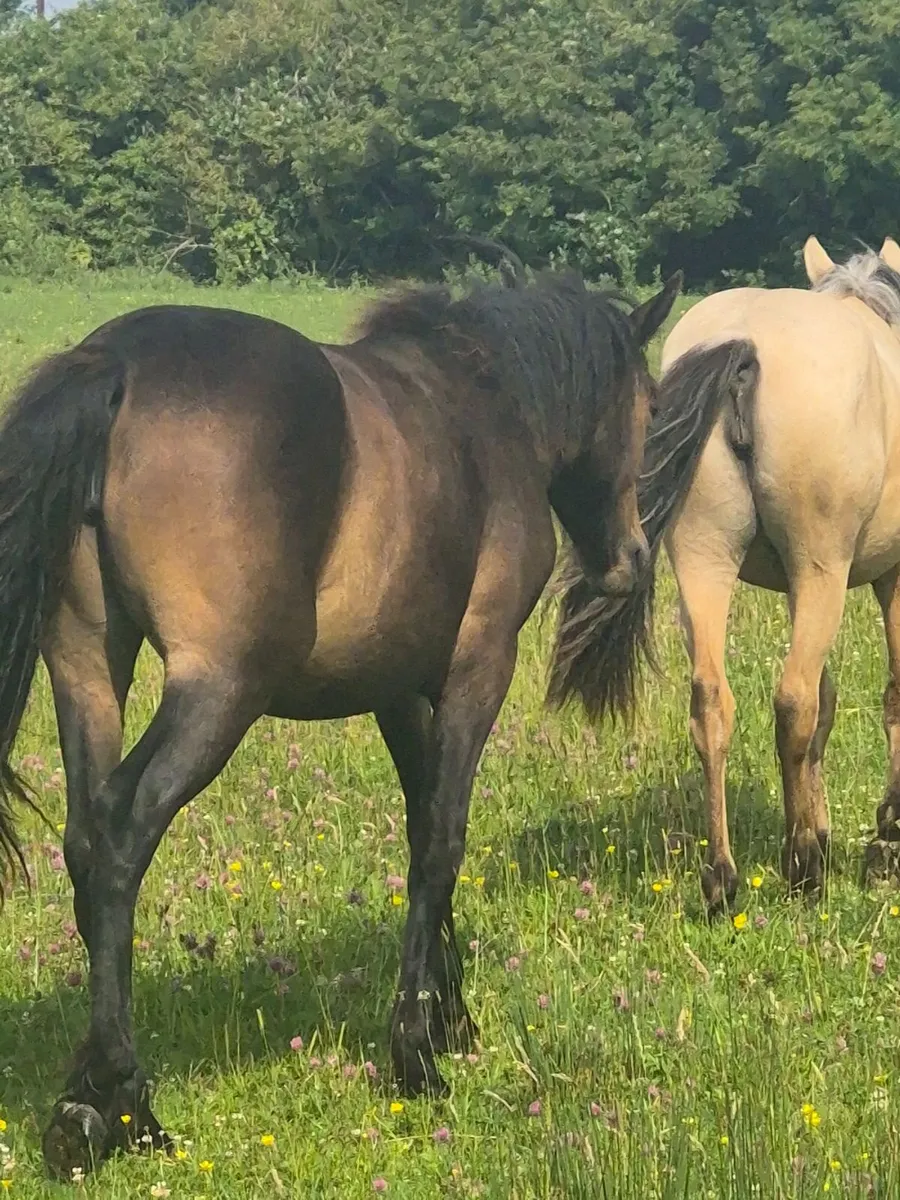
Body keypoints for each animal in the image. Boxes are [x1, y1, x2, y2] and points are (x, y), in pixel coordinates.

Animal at [0, 262, 709, 1178]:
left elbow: (423, 826)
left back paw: (82, 1099)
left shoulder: (398, 690)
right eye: (649, 406)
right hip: (219, 691)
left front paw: (447, 1016)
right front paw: (417, 1053)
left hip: (88, 673)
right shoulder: (479, 669)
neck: (486, 406)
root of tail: (115, 364)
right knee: (121, 837)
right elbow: (442, 840)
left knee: (86, 840)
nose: (629, 561)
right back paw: (122, 1103)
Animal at [550, 235, 900, 917]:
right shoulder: (889, 576)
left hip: (705, 561)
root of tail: (745, 346)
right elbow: (886, 697)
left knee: (712, 700)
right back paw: (803, 867)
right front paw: (884, 840)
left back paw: (722, 877)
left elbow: (830, 700)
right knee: (791, 700)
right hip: (819, 568)